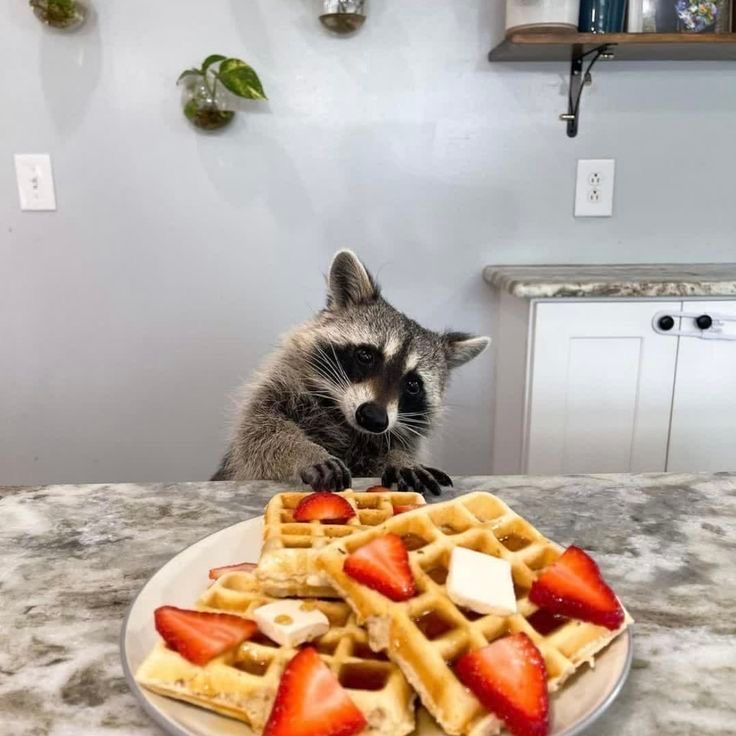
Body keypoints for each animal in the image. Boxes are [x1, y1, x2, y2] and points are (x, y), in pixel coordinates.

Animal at [212, 250, 490, 495]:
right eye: (365, 355)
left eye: (413, 385)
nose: (374, 418)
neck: (342, 419)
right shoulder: (276, 390)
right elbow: (259, 435)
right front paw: (304, 451)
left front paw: (400, 459)